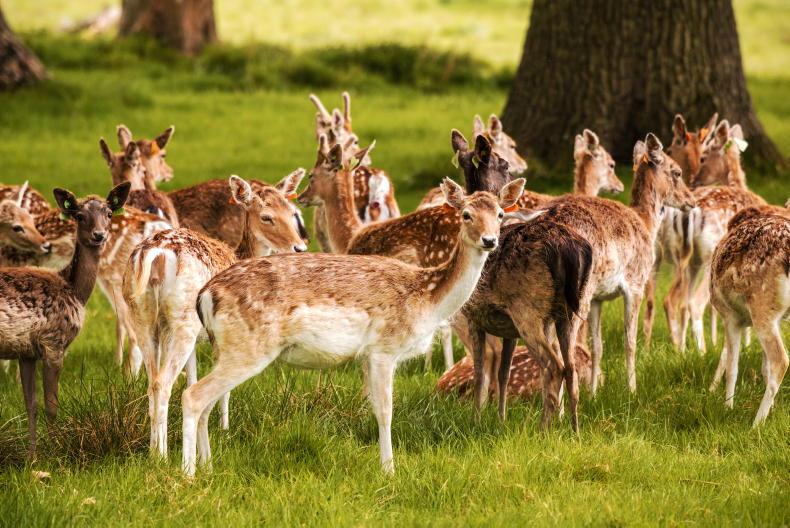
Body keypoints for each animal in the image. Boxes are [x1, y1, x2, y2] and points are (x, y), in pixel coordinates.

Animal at [0, 182, 130, 455]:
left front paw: (33, 456)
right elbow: (51, 405)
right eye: (79, 216)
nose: (99, 235)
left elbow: (31, 404)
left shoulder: (26, 352)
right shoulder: (54, 341)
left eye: (109, 213)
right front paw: (54, 453)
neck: (74, 290)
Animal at [123, 172, 306, 458]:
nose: (299, 247)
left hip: (141, 315)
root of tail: (155, 253)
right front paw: (224, 428)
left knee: (153, 381)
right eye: (266, 217)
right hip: (184, 318)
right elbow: (222, 387)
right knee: (163, 383)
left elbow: (191, 378)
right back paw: (162, 457)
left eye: (292, 212)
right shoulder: (224, 332)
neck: (237, 253)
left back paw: (154, 449)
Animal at [181, 177, 522, 476]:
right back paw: (188, 473)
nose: (489, 240)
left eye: (500, 214)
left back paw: (207, 467)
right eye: (466, 214)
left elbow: (372, 406)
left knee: (207, 401)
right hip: (247, 347)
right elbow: (385, 411)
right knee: (193, 395)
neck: (427, 299)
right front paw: (389, 470)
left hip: (225, 348)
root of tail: (206, 295)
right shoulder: (384, 348)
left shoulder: (367, 356)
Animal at [538, 133, 695, 394]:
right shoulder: (635, 284)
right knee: (564, 347)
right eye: (677, 172)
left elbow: (598, 345)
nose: (691, 200)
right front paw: (632, 389)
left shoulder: (598, 298)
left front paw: (594, 393)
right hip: (579, 290)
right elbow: (629, 340)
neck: (646, 223)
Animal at [708, 207, 789, 426]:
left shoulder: (729, 316)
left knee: (781, 360)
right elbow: (763, 367)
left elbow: (732, 366)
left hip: (762, 307)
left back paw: (756, 424)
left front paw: (727, 406)